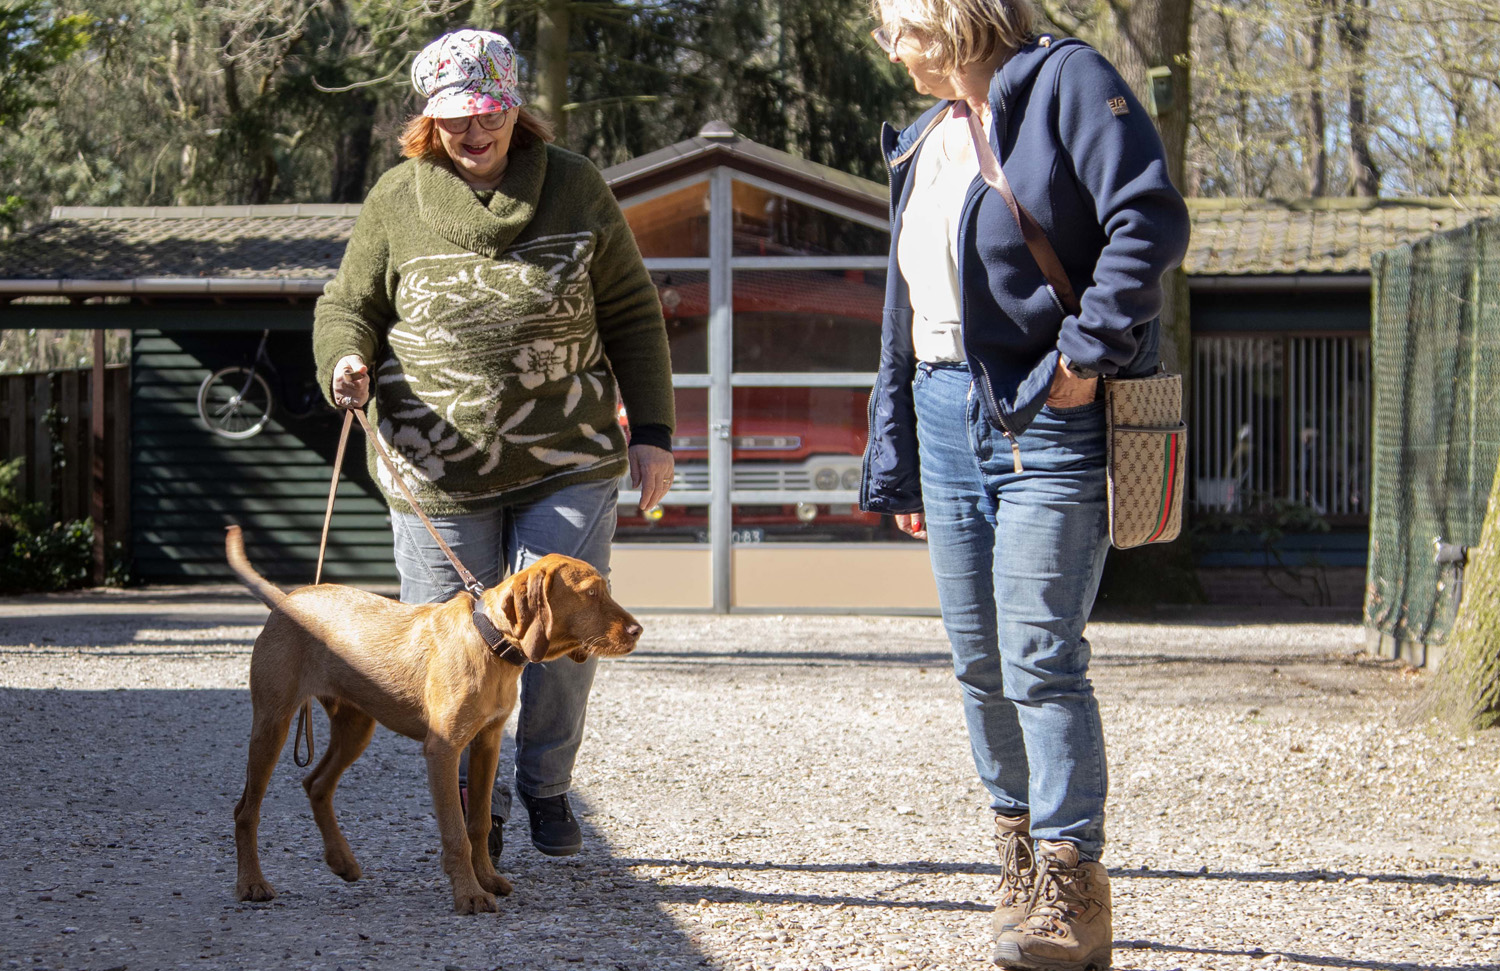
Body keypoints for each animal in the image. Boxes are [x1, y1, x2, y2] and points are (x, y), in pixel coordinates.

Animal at [223, 525, 639, 912]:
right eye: (591, 593)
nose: (638, 630)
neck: (490, 644)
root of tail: (287, 599)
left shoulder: (486, 744)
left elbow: (478, 822)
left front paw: (487, 878)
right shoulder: (443, 749)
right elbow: (455, 831)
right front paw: (469, 894)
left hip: (356, 727)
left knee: (316, 783)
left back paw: (341, 861)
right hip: (272, 723)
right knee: (246, 810)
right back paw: (251, 884)